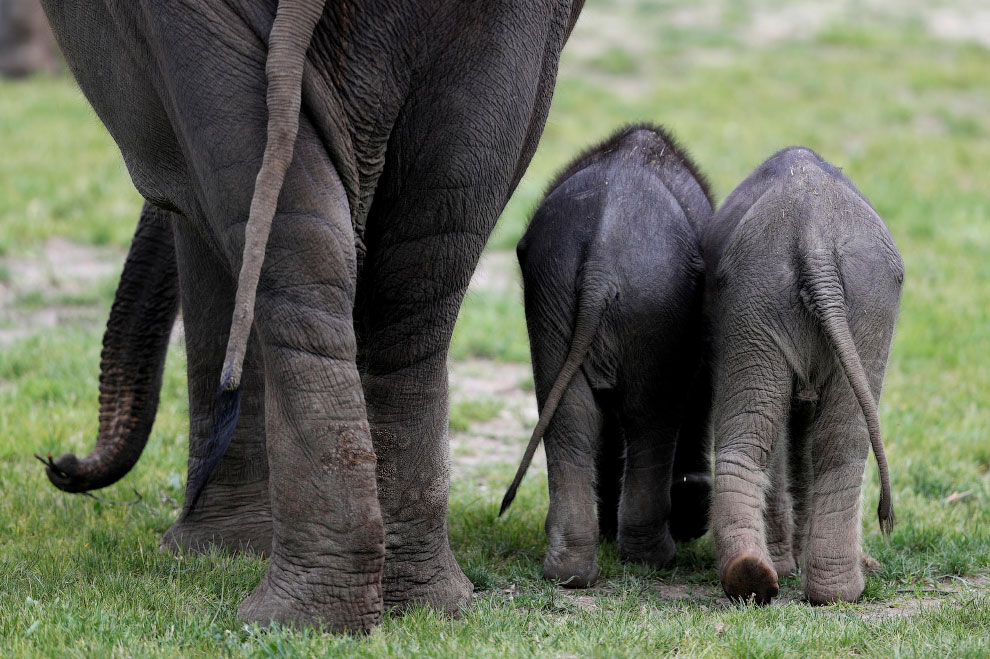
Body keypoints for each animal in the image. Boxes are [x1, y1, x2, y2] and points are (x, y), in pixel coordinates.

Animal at [38, 0, 584, 628]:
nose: (62, 463)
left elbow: (200, 225)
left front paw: (210, 552)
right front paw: (230, 551)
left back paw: (292, 620)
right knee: (422, 252)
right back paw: (414, 606)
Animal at [500, 124, 716, 588]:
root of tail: (600, 261)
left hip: (556, 290)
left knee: (573, 417)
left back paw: (570, 572)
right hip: (654, 299)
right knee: (651, 418)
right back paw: (651, 559)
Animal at [704, 147, 908, 604]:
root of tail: (814, 234)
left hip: (812, 294)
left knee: (813, 440)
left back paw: (787, 583)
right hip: (782, 296)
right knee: (813, 439)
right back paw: (809, 586)